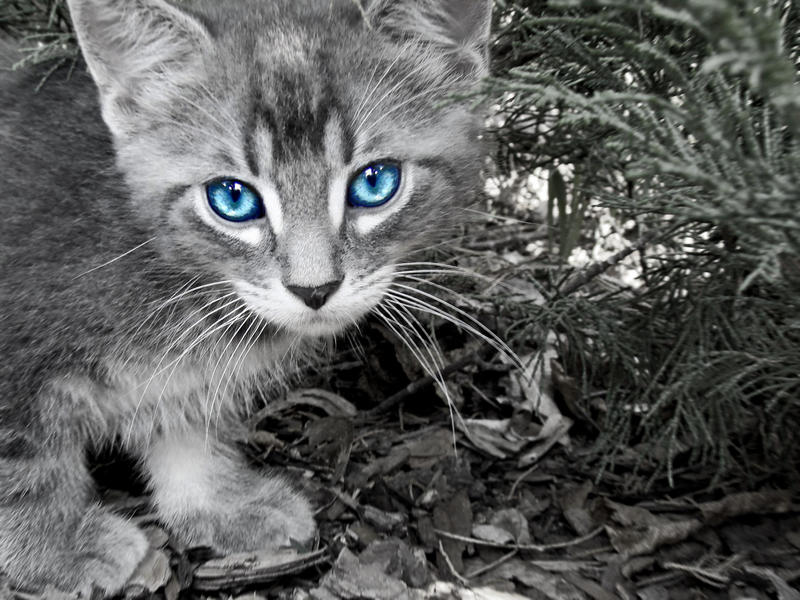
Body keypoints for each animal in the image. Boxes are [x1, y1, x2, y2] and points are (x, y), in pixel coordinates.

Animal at [0, 0, 490, 592]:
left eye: (375, 183)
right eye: (232, 198)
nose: (314, 288)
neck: (178, 285)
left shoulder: (189, 374)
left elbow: (185, 421)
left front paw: (217, 502)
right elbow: (20, 457)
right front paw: (54, 548)